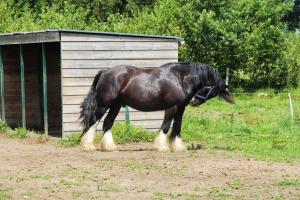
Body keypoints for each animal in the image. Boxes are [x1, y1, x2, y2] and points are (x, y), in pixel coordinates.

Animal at [79, 62, 234, 152]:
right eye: (211, 89)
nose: (194, 101)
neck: (180, 78)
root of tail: (105, 72)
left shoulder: (181, 108)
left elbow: (177, 127)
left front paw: (177, 146)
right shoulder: (172, 107)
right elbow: (165, 126)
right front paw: (162, 146)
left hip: (116, 106)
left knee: (107, 123)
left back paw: (109, 147)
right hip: (104, 104)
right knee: (93, 122)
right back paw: (88, 146)